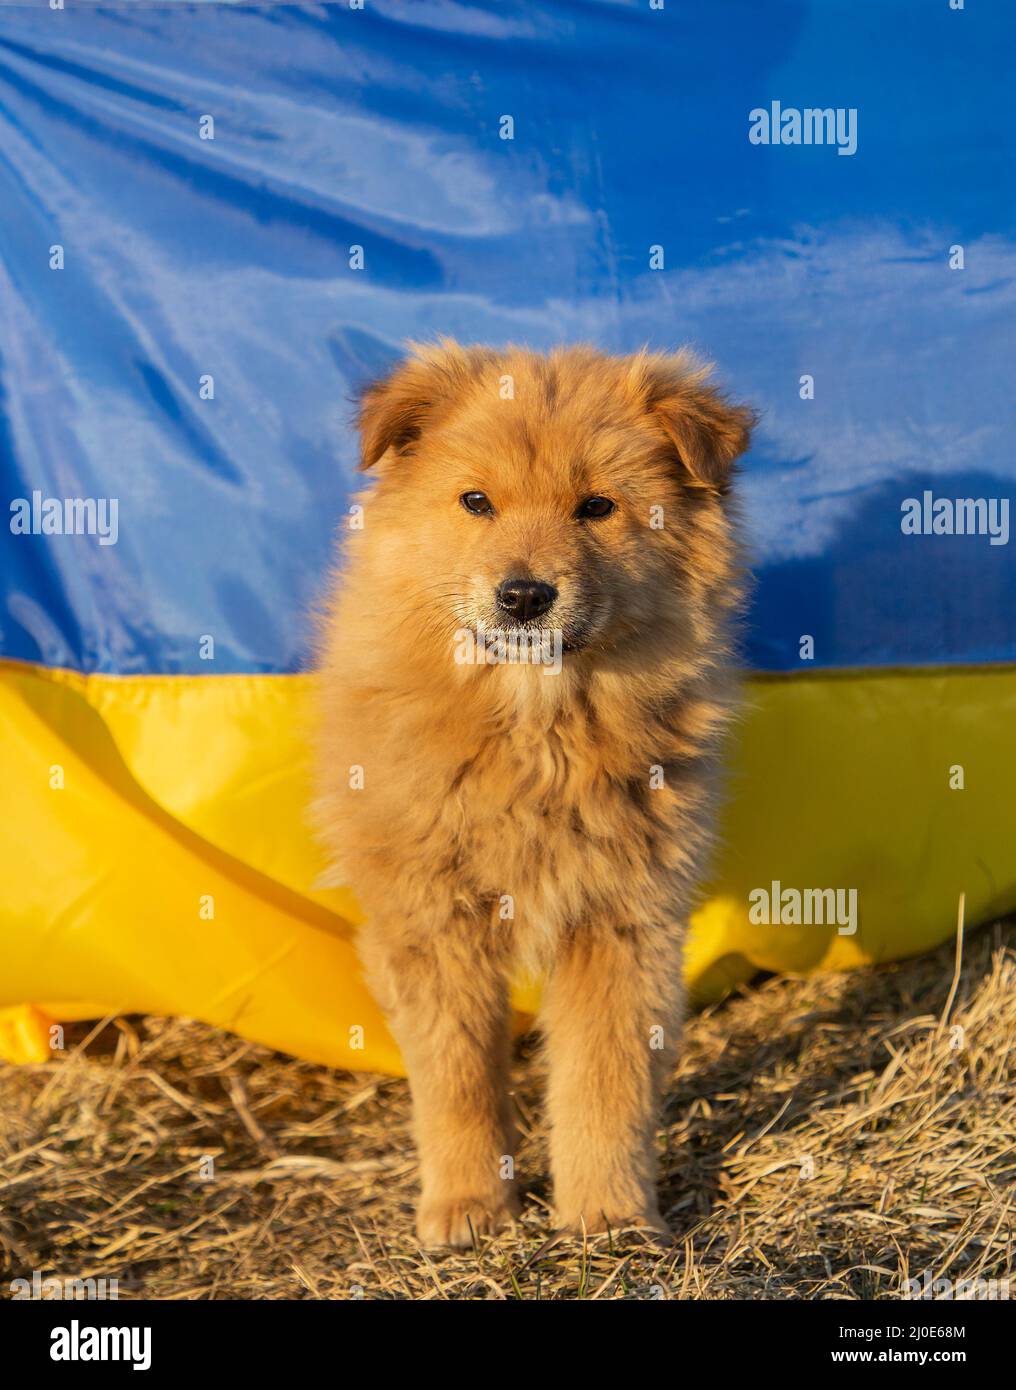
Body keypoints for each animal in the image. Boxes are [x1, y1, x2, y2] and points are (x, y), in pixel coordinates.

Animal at [318, 339, 756, 1251]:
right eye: (476, 502)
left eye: (597, 507)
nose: (524, 595)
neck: (537, 733)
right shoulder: (432, 922)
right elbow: (457, 1080)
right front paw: (467, 1206)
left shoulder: (622, 919)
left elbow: (604, 1079)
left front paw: (608, 1213)